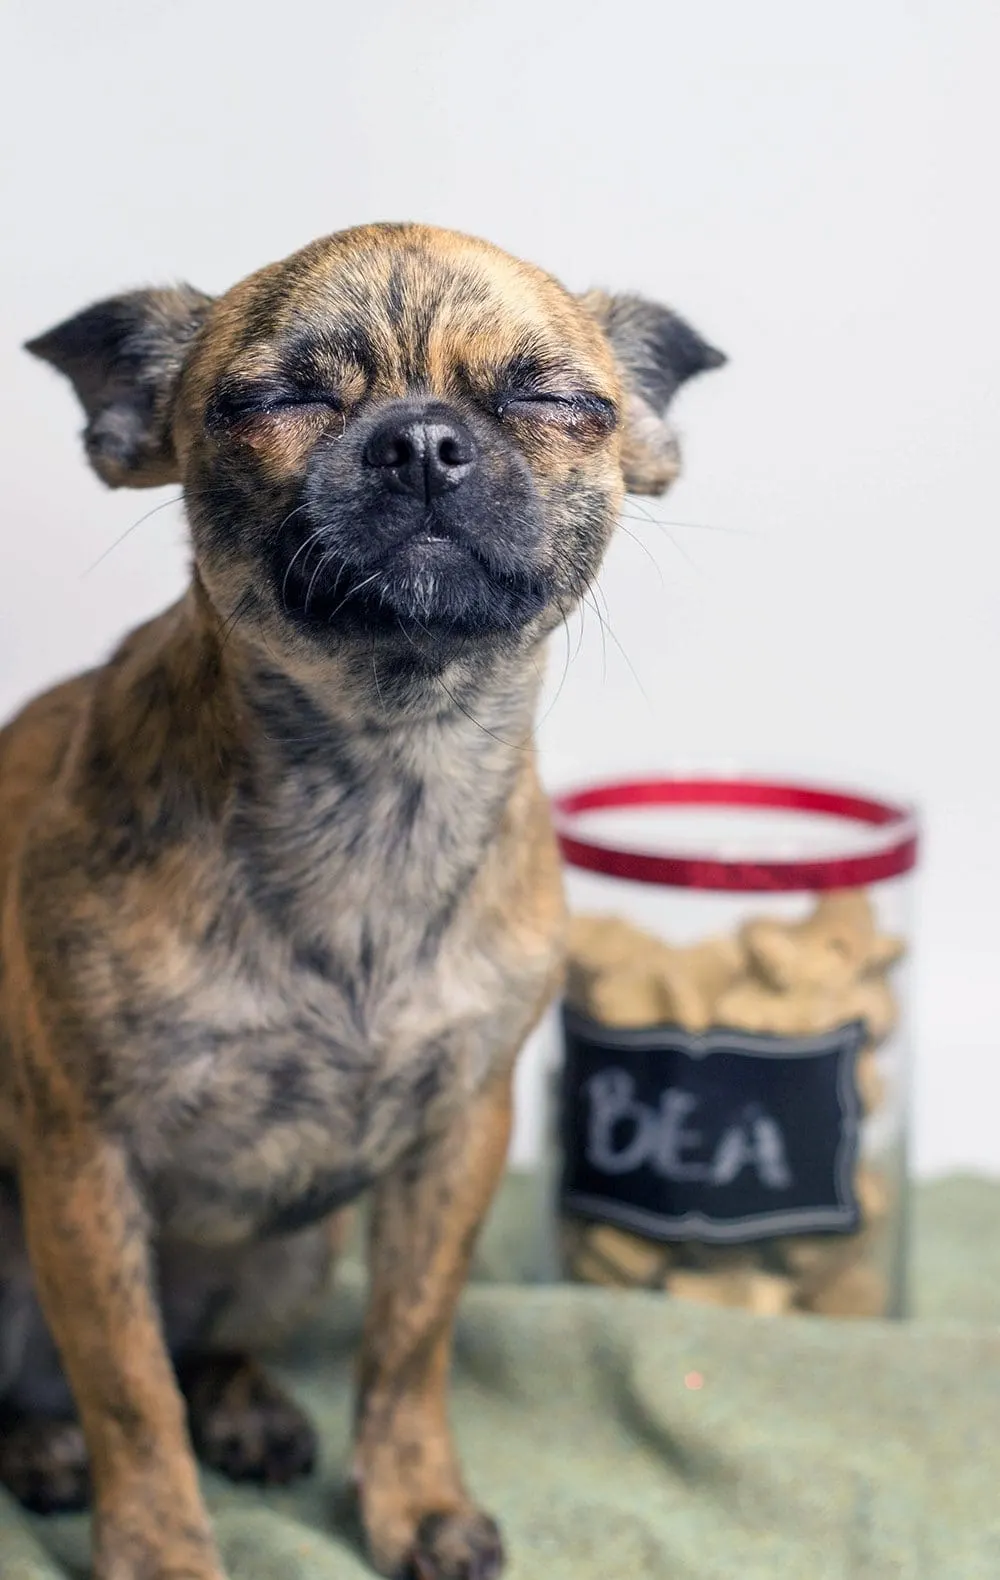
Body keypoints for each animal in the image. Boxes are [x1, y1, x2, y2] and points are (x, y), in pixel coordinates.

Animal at [0, 225, 720, 1580]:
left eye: (552, 400)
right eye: (271, 402)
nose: (422, 438)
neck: (384, 776)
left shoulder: (457, 1139)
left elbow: (405, 1344)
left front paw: (413, 1499)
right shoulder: (85, 1160)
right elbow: (128, 1387)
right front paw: (161, 1547)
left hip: (292, 1250)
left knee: (208, 1350)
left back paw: (247, 1409)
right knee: (70, 1381)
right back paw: (48, 1447)